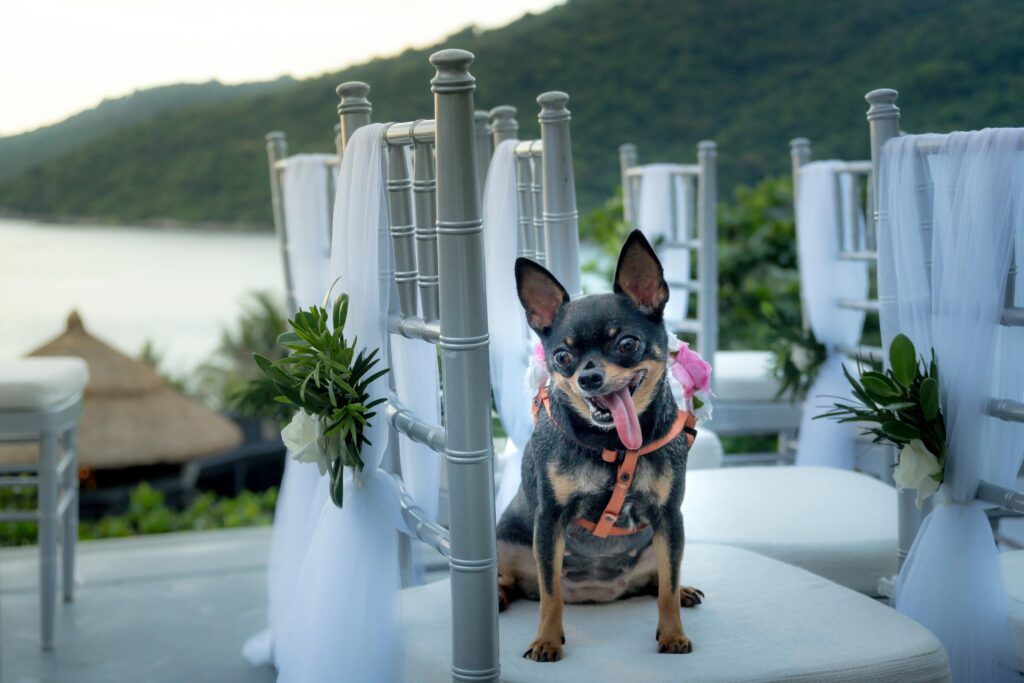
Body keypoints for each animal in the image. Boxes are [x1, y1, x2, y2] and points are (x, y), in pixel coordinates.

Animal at [495, 229, 704, 663]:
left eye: (626, 344)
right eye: (562, 356)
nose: (589, 377)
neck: (613, 443)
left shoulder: (669, 518)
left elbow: (667, 587)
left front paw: (673, 634)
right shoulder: (549, 521)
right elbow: (550, 593)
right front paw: (546, 640)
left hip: (658, 544)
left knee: (660, 578)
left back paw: (683, 590)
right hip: (508, 542)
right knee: (516, 582)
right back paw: (500, 596)